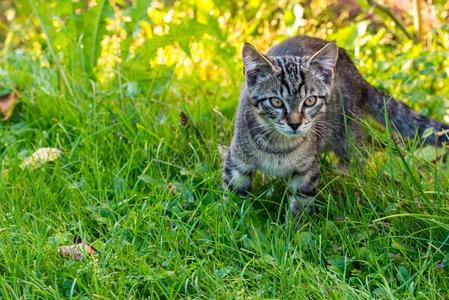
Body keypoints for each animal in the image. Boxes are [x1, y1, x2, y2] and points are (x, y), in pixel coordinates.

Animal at [223, 35, 448, 214]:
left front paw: (293, 233)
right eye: (276, 102)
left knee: (357, 159)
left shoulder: (306, 172)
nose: (295, 124)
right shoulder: (235, 162)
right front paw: (234, 217)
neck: (278, 146)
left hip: (350, 136)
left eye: (310, 101)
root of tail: (357, 74)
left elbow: (300, 205)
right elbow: (233, 197)